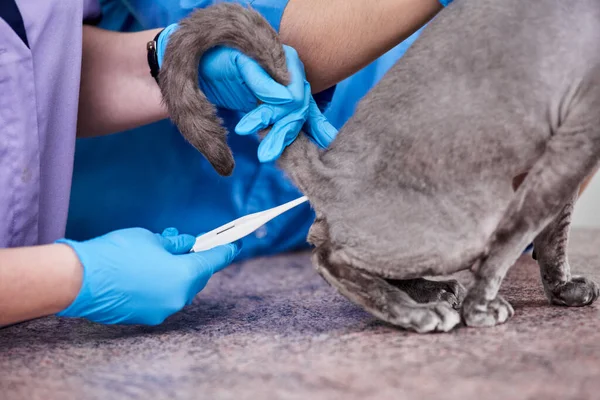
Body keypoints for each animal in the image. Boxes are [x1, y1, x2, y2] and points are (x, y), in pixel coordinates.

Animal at [158, 0, 600, 332]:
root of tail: (329, 164)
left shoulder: (560, 151)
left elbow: (553, 234)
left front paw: (563, 289)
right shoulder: (576, 137)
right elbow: (516, 239)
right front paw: (480, 309)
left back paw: (430, 293)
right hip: (469, 227)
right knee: (327, 254)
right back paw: (419, 311)